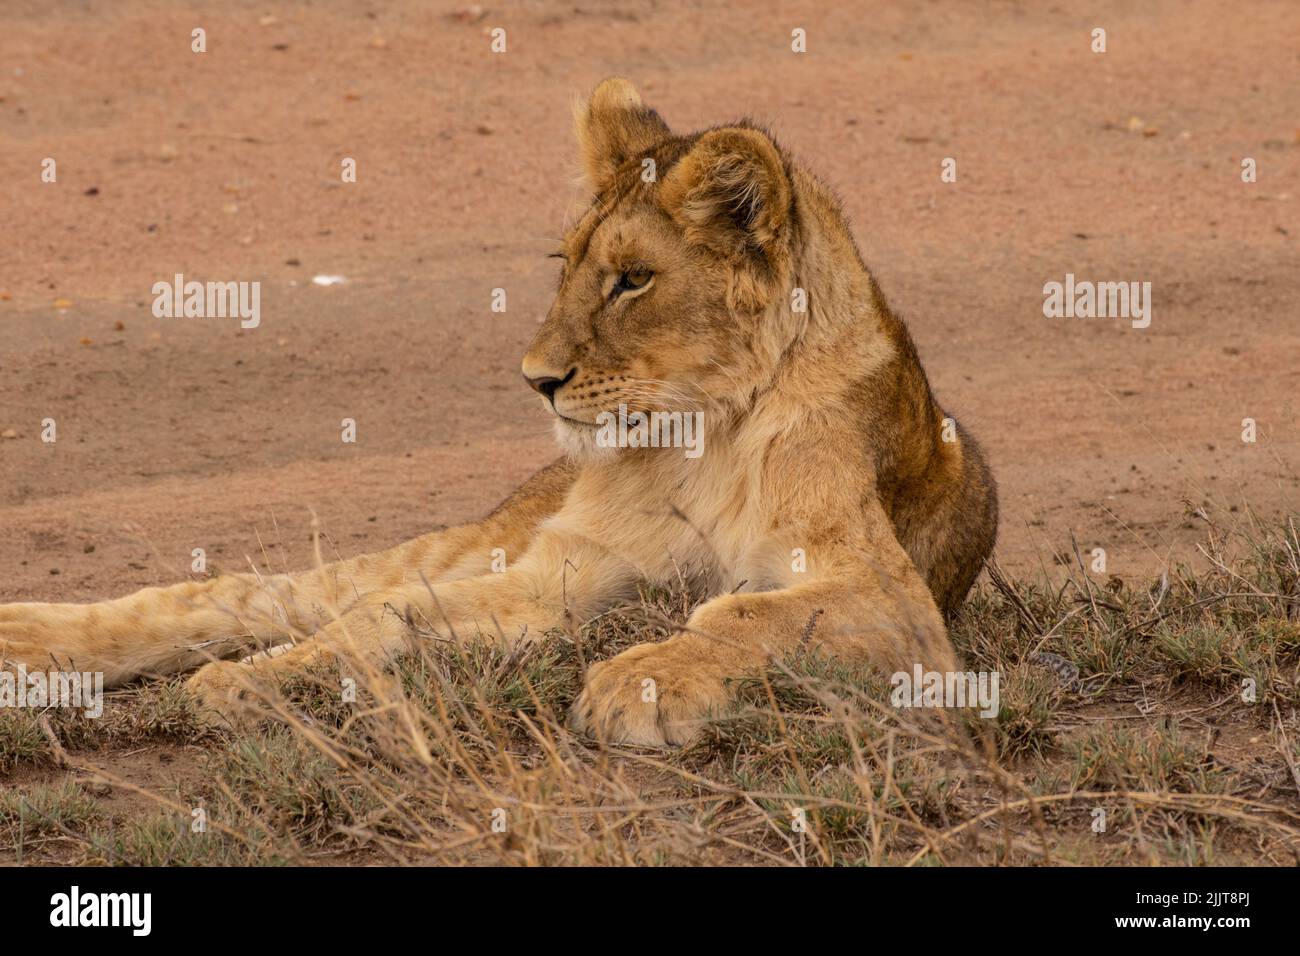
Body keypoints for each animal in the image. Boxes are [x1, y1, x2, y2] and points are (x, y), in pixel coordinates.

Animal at [0, 79, 997, 746]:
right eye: (567, 263)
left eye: (633, 279)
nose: (535, 379)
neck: (699, 434)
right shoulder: (566, 574)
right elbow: (383, 613)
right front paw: (264, 682)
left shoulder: (892, 600)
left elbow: (740, 614)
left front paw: (641, 680)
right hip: (480, 534)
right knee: (251, 593)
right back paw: (32, 642)